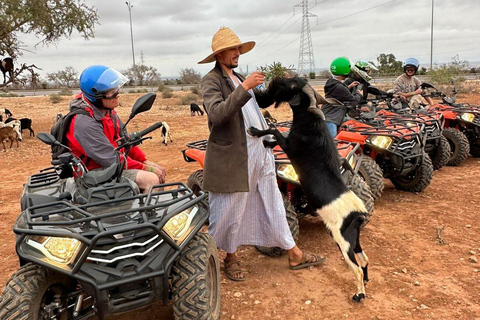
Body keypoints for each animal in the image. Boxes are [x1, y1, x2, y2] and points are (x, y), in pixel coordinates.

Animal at [248, 77, 372, 302]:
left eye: (289, 85)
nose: (264, 90)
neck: (308, 118)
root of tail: (358, 213)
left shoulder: (290, 146)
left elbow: (274, 131)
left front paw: (256, 132)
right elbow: (274, 135)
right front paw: (266, 142)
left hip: (342, 240)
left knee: (357, 267)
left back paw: (358, 294)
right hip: (353, 238)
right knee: (364, 258)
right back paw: (366, 282)